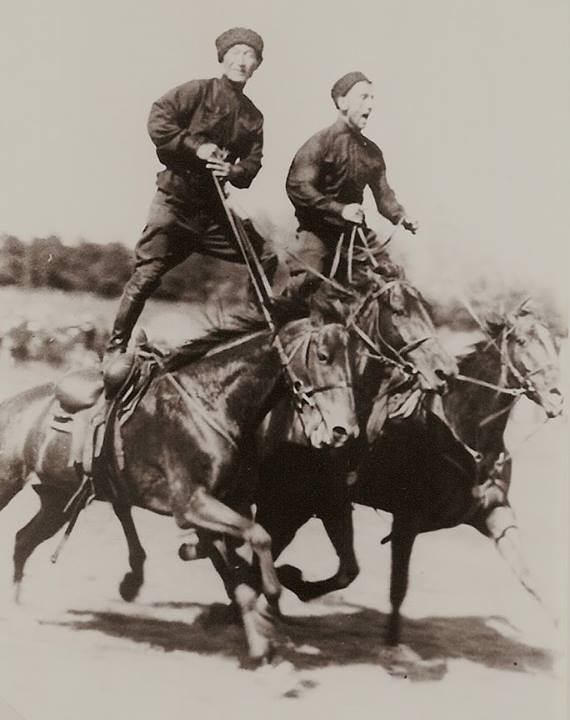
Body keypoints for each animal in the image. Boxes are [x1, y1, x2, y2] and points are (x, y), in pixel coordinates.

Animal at [0, 297, 359, 662]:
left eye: (354, 362)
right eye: (323, 356)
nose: (344, 430)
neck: (212, 404)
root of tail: (12, 404)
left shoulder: (224, 507)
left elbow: (241, 573)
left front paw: (263, 644)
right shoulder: (192, 504)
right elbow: (258, 540)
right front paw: (272, 598)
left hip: (57, 499)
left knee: (23, 540)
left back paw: (17, 609)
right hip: (11, 485)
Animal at [272, 300, 563, 646]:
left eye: (555, 343)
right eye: (521, 341)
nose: (557, 396)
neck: (463, 432)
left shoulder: (495, 513)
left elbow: (529, 577)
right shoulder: (406, 521)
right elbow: (398, 586)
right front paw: (393, 645)